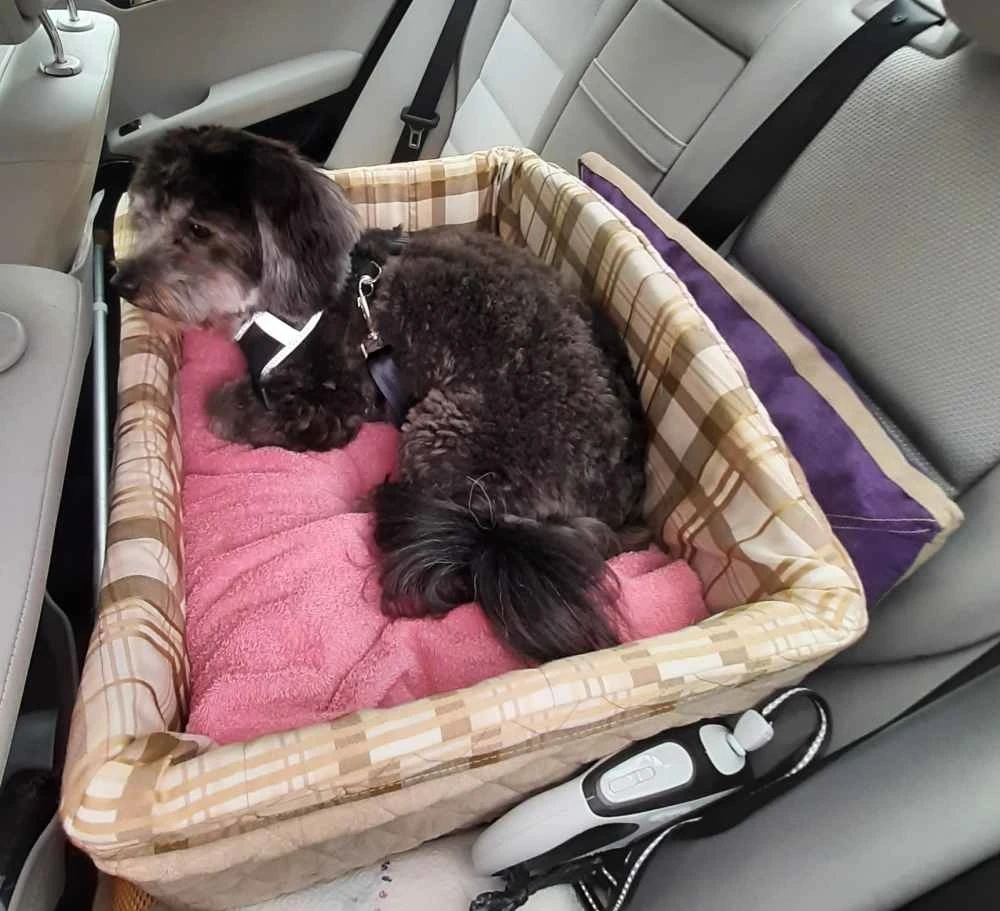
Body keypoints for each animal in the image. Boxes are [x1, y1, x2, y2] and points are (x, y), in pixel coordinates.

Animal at [112, 126, 648, 663]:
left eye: (198, 229)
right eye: (144, 217)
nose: (121, 282)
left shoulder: (331, 404)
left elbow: (224, 406)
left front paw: (232, 403)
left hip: (449, 428)